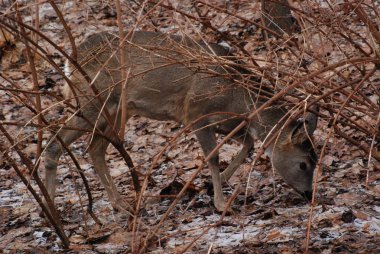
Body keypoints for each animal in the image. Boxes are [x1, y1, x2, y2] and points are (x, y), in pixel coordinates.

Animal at [43, 30, 318, 213]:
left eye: (316, 161)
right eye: (303, 164)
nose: (309, 193)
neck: (237, 97)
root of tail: (70, 60)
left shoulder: (228, 122)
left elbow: (249, 144)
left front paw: (219, 182)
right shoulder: (196, 113)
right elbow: (213, 157)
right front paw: (221, 204)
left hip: (115, 110)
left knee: (95, 148)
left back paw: (120, 204)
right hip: (92, 100)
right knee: (57, 142)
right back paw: (51, 208)